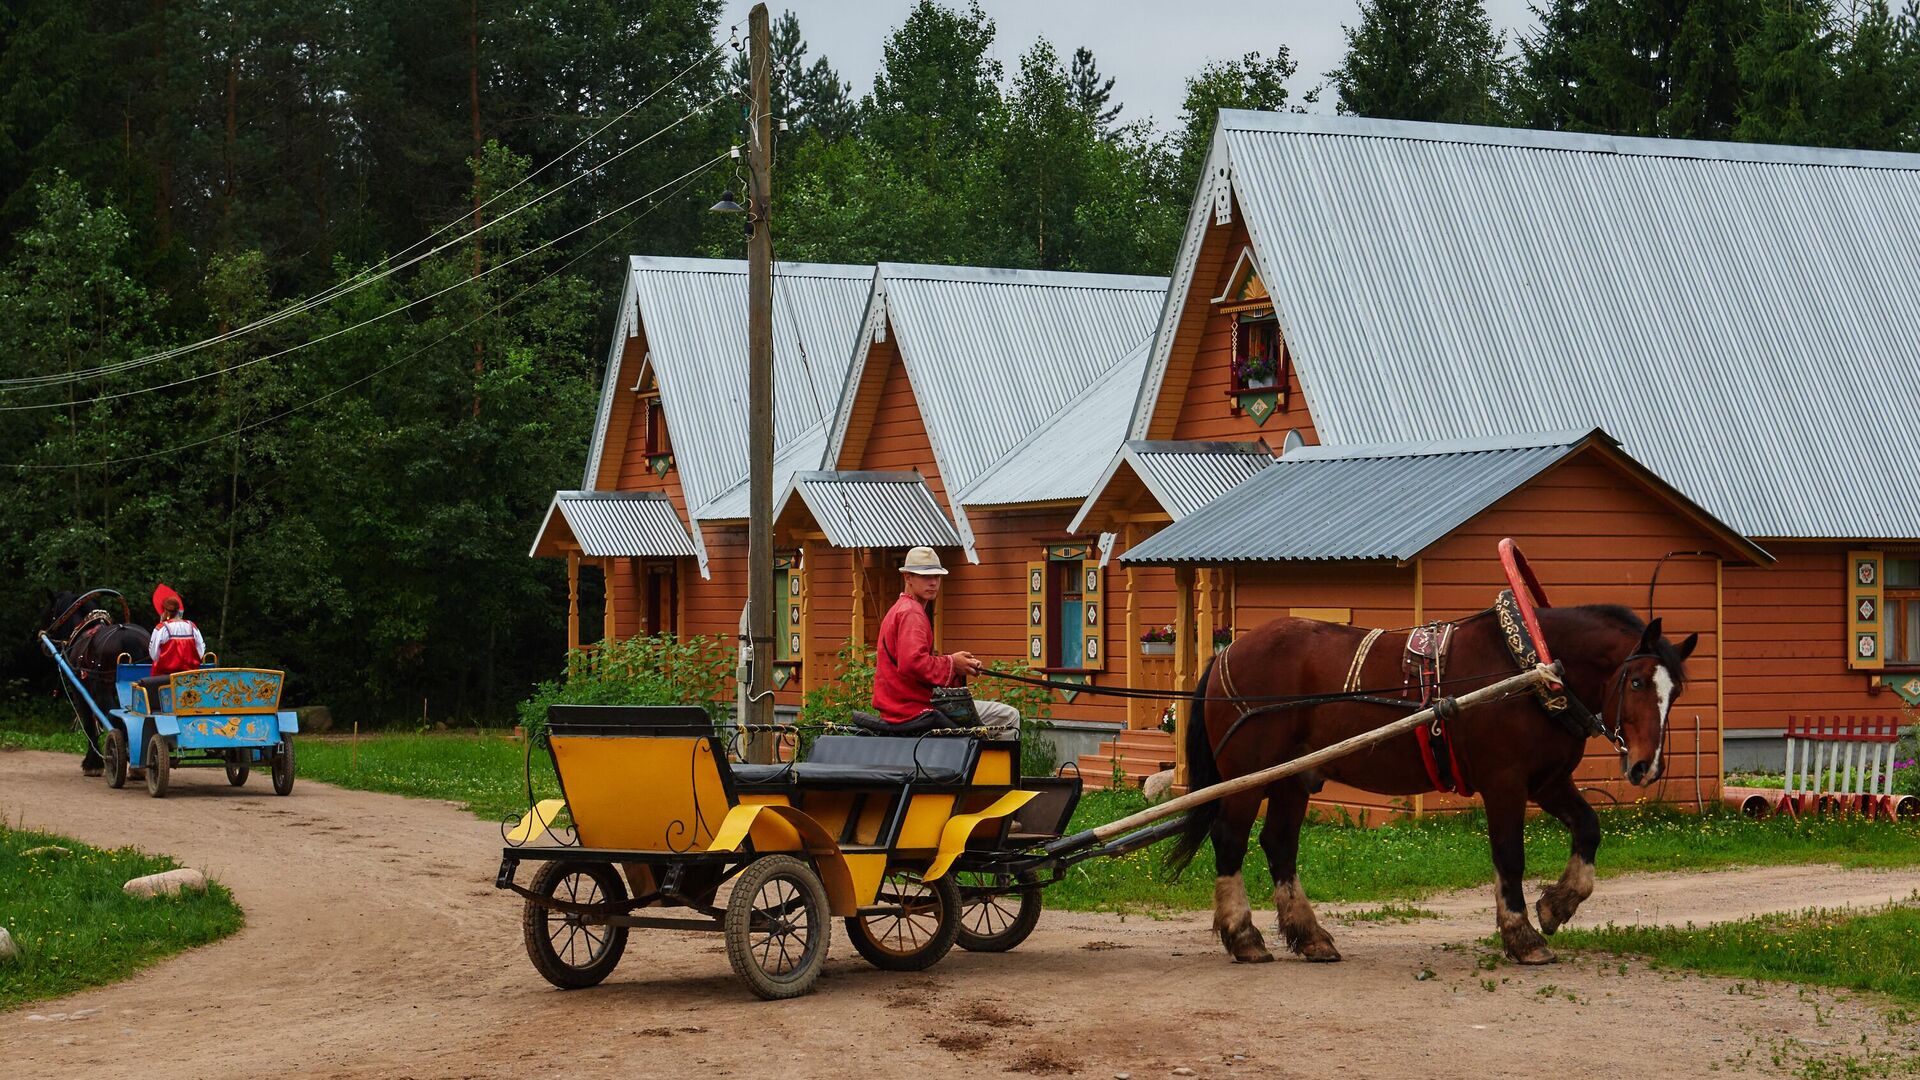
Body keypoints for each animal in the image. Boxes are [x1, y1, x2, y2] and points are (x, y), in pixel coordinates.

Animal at [1167, 599, 1697, 960]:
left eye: (1675, 692)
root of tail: (1228, 651)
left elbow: (1589, 828)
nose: (1646, 767)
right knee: (1230, 840)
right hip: (1247, 776)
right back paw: (1243, 937)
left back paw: (1310, 936)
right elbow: (1510, 855)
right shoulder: (1505, 782)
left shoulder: (1547, 782)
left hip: (1292, 778)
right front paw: (1522, 936)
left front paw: (1557, 907)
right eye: (1635, 682)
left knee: (1278, 843)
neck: (1529, 670)